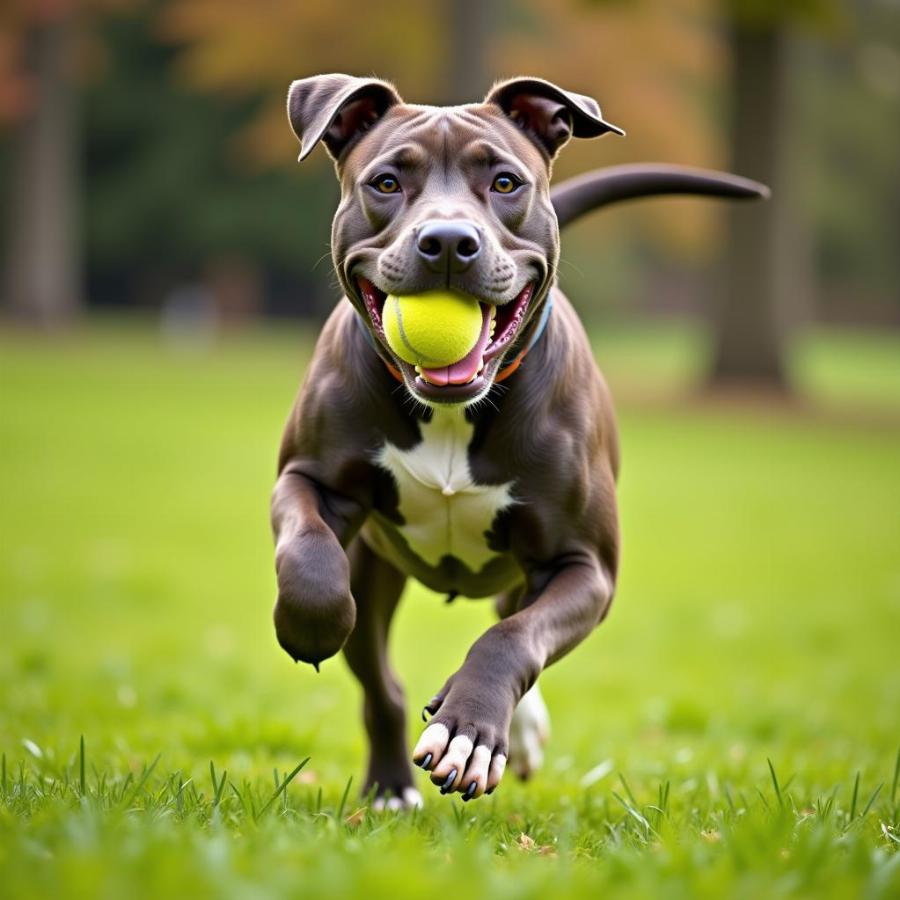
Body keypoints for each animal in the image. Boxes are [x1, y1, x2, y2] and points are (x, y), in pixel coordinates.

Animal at [270, 75, 764, 808]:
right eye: (386, 182)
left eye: (505, 182)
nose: (448, 241)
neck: (451, 413)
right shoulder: (309, 479)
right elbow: (307, 555)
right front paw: (308, 625)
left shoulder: (583, 566)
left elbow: (513, 637)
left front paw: (468, 729)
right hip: (374, 568)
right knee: (380, 679)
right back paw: (390, 785)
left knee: (508, 618)